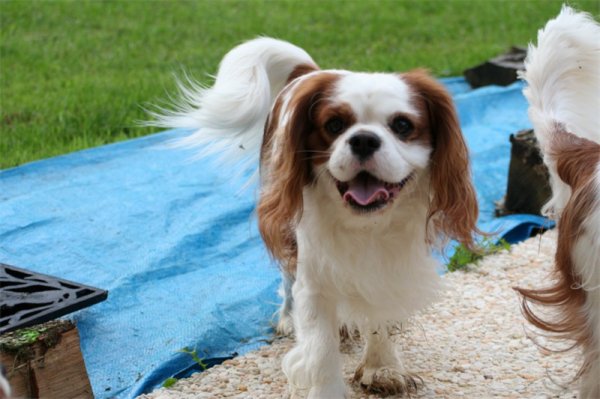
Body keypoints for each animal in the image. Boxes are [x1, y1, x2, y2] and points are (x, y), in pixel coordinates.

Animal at [155, 36, 478, 396]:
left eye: (402, 125)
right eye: (334, 125)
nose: (363, 139)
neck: (366, 224)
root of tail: (309, 72)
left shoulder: (389, 268)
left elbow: (378, 314)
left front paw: (381, 367)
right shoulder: (313, 280)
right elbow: (320, 349)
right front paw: (326, 386)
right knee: (287, 276)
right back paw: (287, 317)